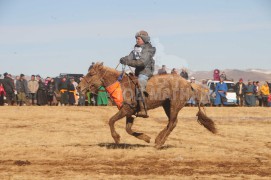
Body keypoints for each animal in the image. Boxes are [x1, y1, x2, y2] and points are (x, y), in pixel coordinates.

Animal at [78, 62, 217, 148]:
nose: (79, 87)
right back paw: (157, 139)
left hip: (174, 106)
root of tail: (189, 84)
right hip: (167, 106)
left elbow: (111, 120)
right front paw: (145, 138)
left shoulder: (126, 110)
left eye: (91, 74)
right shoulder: (130, 113)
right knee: (171, 123)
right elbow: (128, 129)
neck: (121, 85)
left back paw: (159, 143)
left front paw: (116, 138)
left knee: (172, 123)